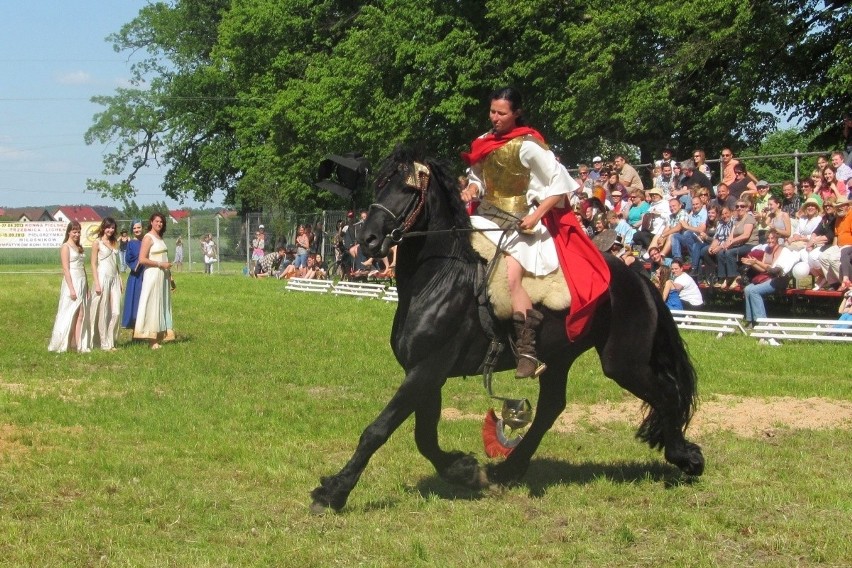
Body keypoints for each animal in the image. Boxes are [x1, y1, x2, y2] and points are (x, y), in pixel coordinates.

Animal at [310, 149, 704, 512]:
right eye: (379, 185)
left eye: (408, 189)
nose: (368, 240)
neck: (439, 278)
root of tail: (635, 277)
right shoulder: (425, 374)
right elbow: (425, 436)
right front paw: (466, 471)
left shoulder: (427, 370)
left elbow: (379, 430)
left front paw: (334, 492)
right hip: (559, 358)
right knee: (550, 408)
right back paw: (509, 469)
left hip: (623, 363)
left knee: (666, 394)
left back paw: (687, 458)